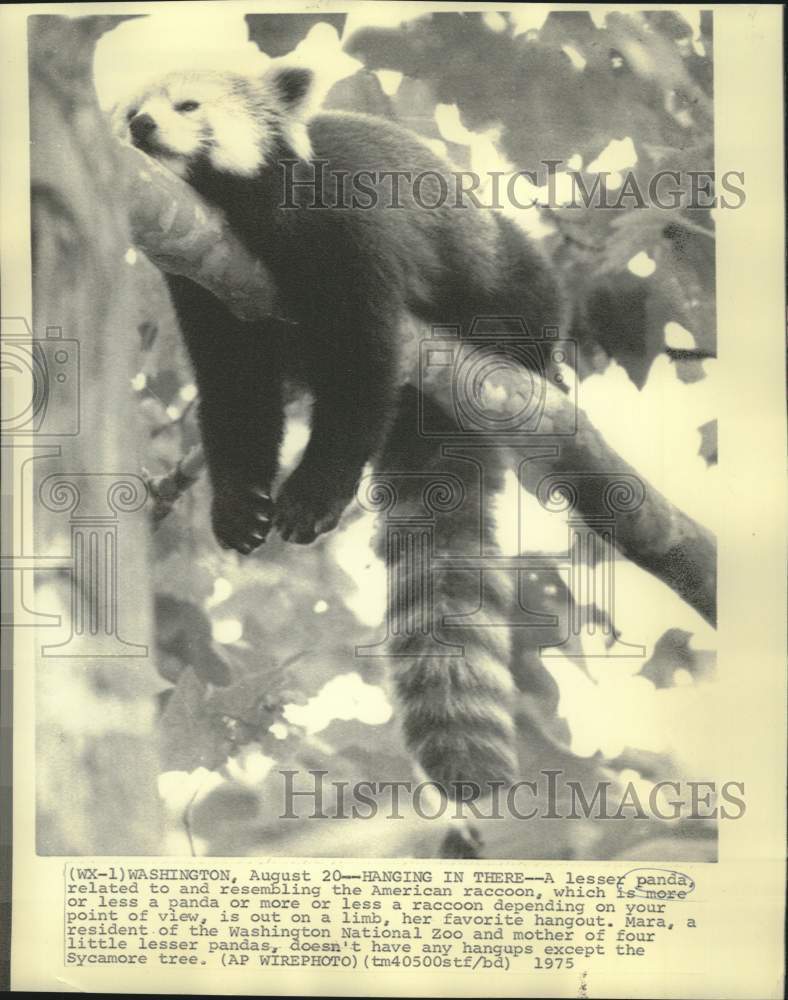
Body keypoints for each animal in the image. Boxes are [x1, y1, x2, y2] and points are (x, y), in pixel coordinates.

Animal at [117, 61, 565, 809]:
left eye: (187, 105)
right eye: (132, 108)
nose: (140, 125)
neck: (241, 215)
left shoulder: (350, 231)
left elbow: (361, 371)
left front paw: (312, 496)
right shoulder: (204, 275)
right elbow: (236, 395)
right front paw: (238, 507)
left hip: (488, 258)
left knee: (523, 277)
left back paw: (523, 344)